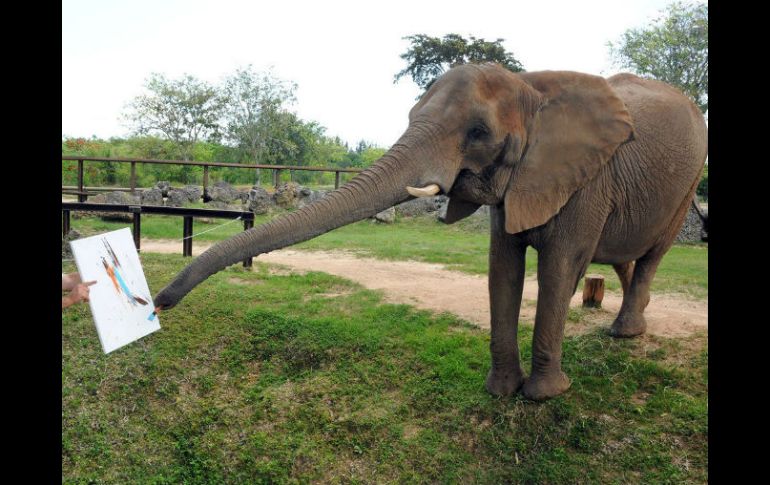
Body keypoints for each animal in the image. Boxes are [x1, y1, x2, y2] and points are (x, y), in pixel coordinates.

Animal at [158, 62, 708, 398]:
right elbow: (501, 267)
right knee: (625, 256)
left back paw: (626, 332)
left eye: (478, 133)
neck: (532, 87)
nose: (159, 302)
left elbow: (558, 266)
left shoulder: (586, 180)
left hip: (688, 185)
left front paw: (544, 397)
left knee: (651, 254)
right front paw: (500, 392)